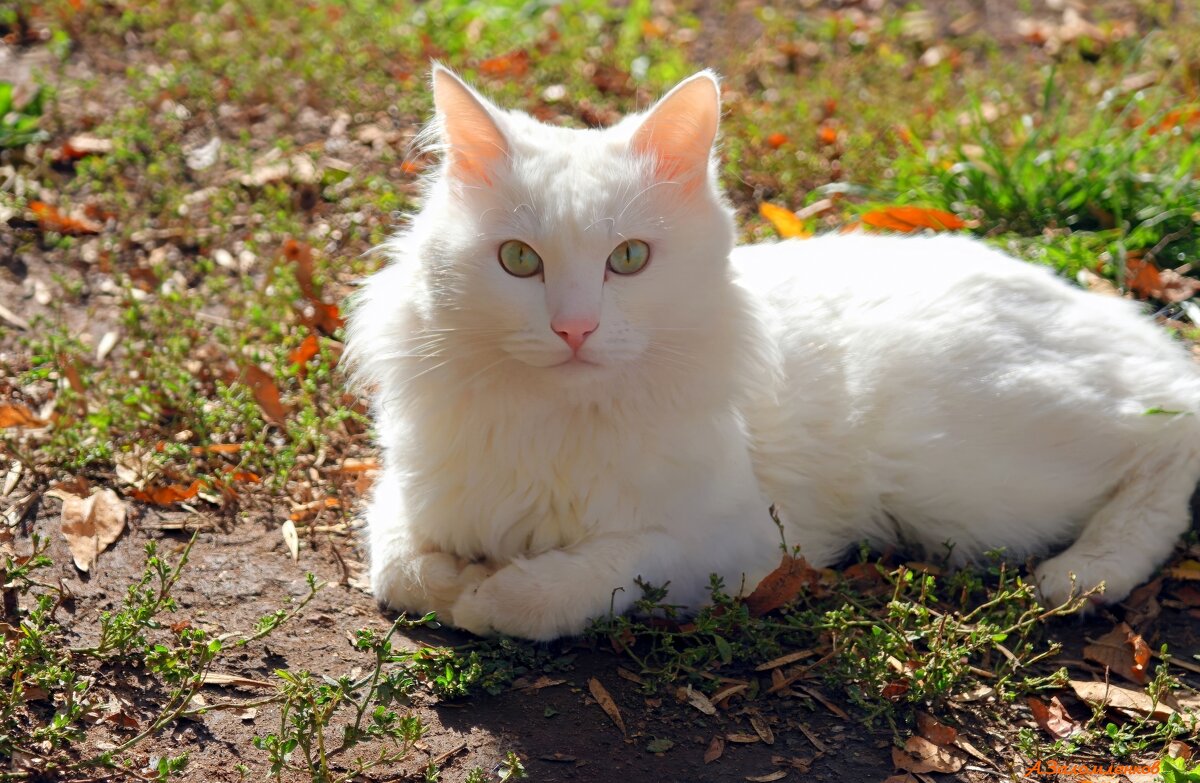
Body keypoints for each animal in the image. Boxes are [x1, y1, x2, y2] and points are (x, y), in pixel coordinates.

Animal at [348, 65, 1200, 643]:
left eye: (629, 259)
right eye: (520, 261)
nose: (575, 329)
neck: (553, 421)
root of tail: (1101, 306)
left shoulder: (729, 542)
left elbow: (572, 582)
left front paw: (488, 596)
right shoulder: (409, 491)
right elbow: (398, 564)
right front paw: (455, 579)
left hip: (971, 476)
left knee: (1172, 430)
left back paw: (1084, 573)